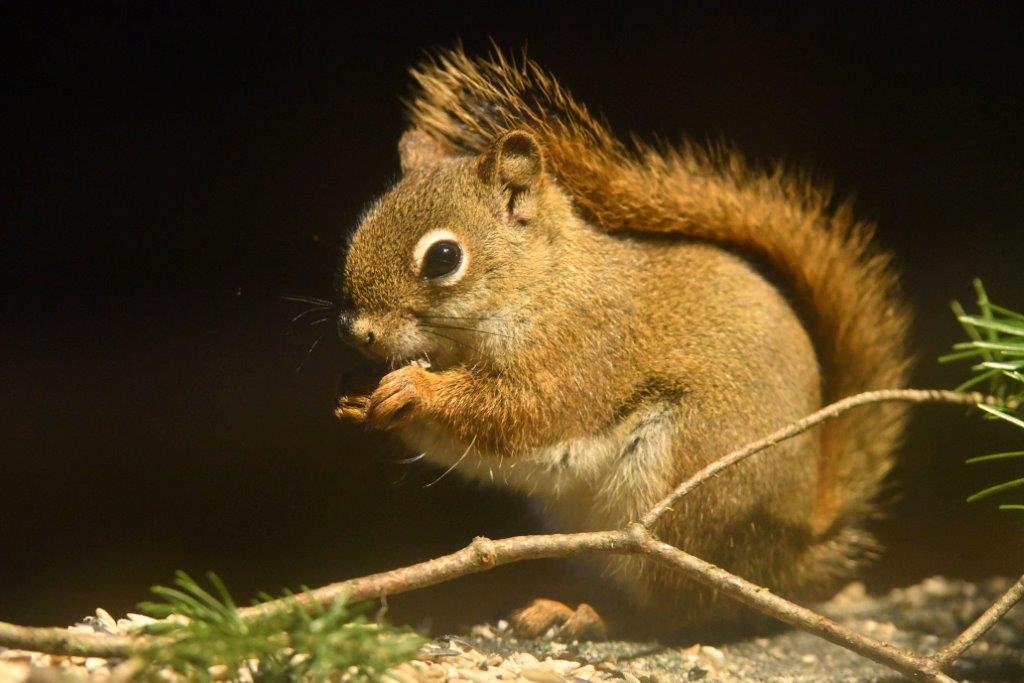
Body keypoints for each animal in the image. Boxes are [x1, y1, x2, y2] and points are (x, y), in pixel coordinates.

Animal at [333, 48, 911, 639]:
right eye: (360, 227)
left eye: (444, 258)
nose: (357, 333)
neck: (542, 282)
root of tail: (791, 557)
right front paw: (360, 395)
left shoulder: (581, 350)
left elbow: (521, 413)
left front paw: (414, 390)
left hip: (685, 488)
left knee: (678, 611)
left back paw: (593, 616)